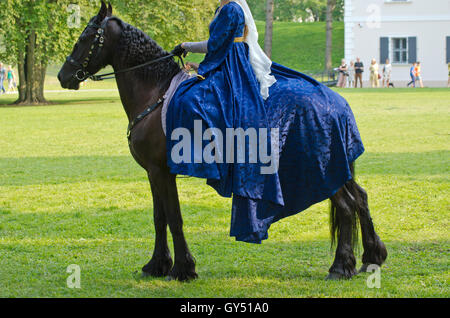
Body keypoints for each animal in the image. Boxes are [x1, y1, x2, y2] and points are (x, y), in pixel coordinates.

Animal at [57, 2, 386, 280]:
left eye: (85, 36)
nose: (63, 75)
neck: (155, 93)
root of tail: (336, 102)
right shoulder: (153, 173)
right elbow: (159, 218)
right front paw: (157, 265)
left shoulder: (162, 172)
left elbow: (173, 218)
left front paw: (183, 269)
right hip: (338, 169)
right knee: (360, 198)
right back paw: (371, 257)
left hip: (322, 171)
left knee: (346, 206)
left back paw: (340, 267)